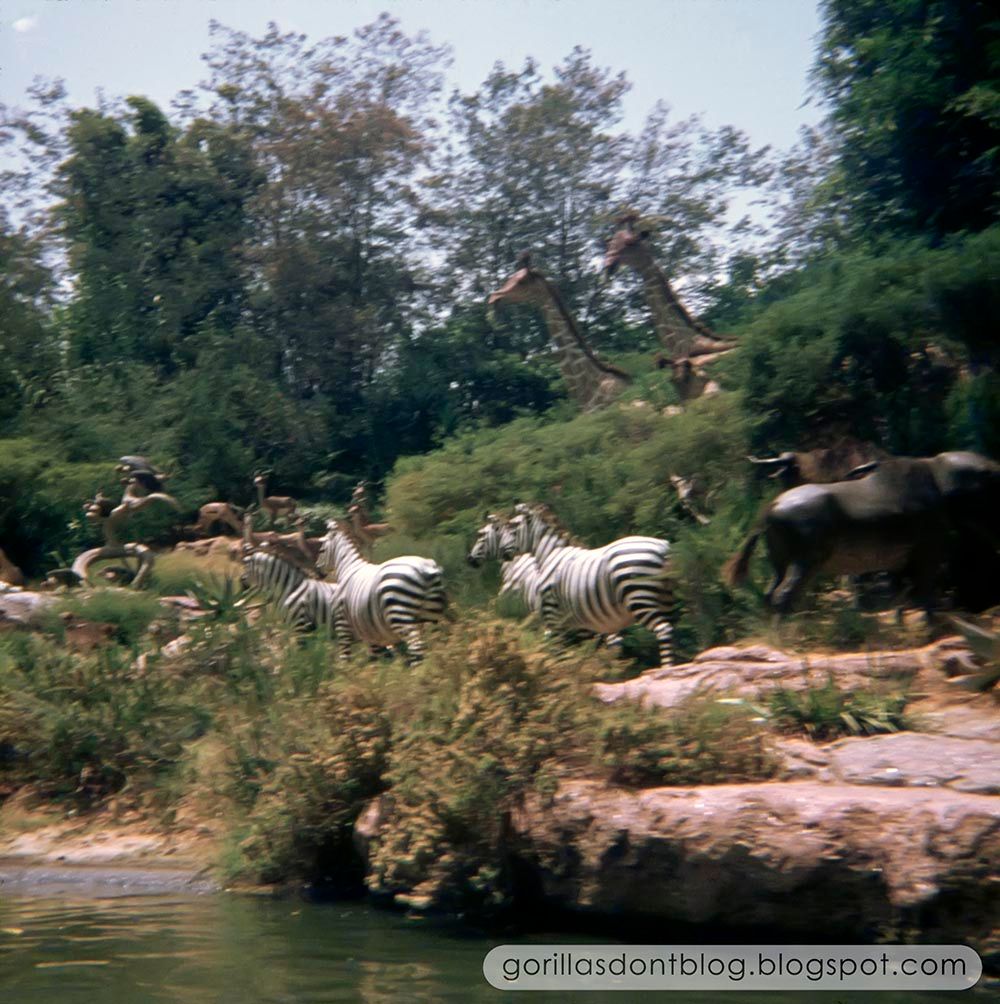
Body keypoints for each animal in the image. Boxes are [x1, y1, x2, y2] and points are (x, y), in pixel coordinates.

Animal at [319, 518, 447, 666]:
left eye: (321, 550)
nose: (319, 573)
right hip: (432, 615)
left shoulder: (343, 624)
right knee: (442, 644)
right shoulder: (371, 631)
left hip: (399, 613)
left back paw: (418, 670)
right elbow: (377, 659)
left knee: (416, 646)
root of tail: (427, 567)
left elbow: (345, 657)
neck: (348, 568)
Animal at [497, 499, 670, 666]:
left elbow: (561, 655)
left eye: (513, 528)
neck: (549, 556)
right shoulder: (581, 623)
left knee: (663, 630)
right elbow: (587, 654)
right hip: (662, 599)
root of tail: (663, 546)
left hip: (639, 596)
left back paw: (666, 669)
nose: (501, 552)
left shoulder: (554, 617)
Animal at [722, 451, 1000, 614]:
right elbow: (923, 589)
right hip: (805, 561)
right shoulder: (927, 549)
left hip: (781, 560)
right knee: (784, 594)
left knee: (771, 593)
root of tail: (771, 508)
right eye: (988, 484)